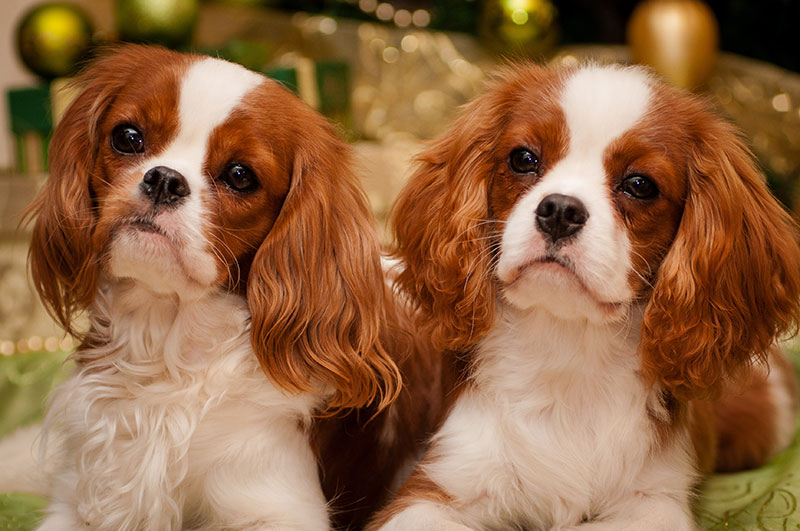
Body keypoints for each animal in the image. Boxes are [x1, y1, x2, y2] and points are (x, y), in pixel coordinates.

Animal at [22, 46, 418, 531]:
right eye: (128, 137)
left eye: (240, 175)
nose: (165, 179)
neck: (165, 347)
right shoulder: (77, 497)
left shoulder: (277, 505)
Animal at [368, 63, 800, 531]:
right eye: (523, 159)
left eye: (640, 185)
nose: (559, 209)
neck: (566, 345)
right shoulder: (434, 488)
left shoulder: (656, 503)